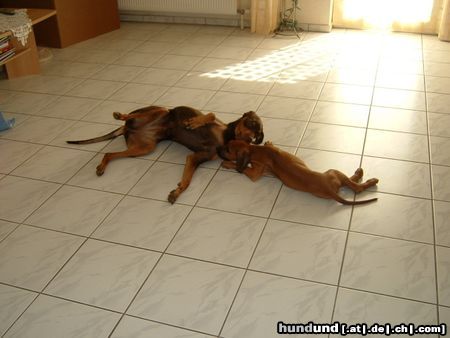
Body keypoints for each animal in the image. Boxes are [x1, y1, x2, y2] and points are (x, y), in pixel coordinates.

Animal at [67, 105, 264, 203]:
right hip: (161, 111)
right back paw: (119, 115)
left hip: (144, 148)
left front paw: (176, 192)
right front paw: (194, 122)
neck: (227, 135)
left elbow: (186, 182)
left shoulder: (195, 158)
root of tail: (127, 128)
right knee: (134, 115)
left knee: (109, 153)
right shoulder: (211, 128)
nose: (256, 138)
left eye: (258, 131)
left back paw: (102, 166)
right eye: (253, 123)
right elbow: (210, 114)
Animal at [218, 140, 380, 206]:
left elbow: (242, 168)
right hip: (335, 173)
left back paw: (363, 175)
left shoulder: (255, 173)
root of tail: (329, 189)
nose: (218, 148)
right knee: (355, 186)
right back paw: (364, 176)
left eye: (227, 149)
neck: (254, 150)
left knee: (356, 187)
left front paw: (227, 164)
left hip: (332, 171)